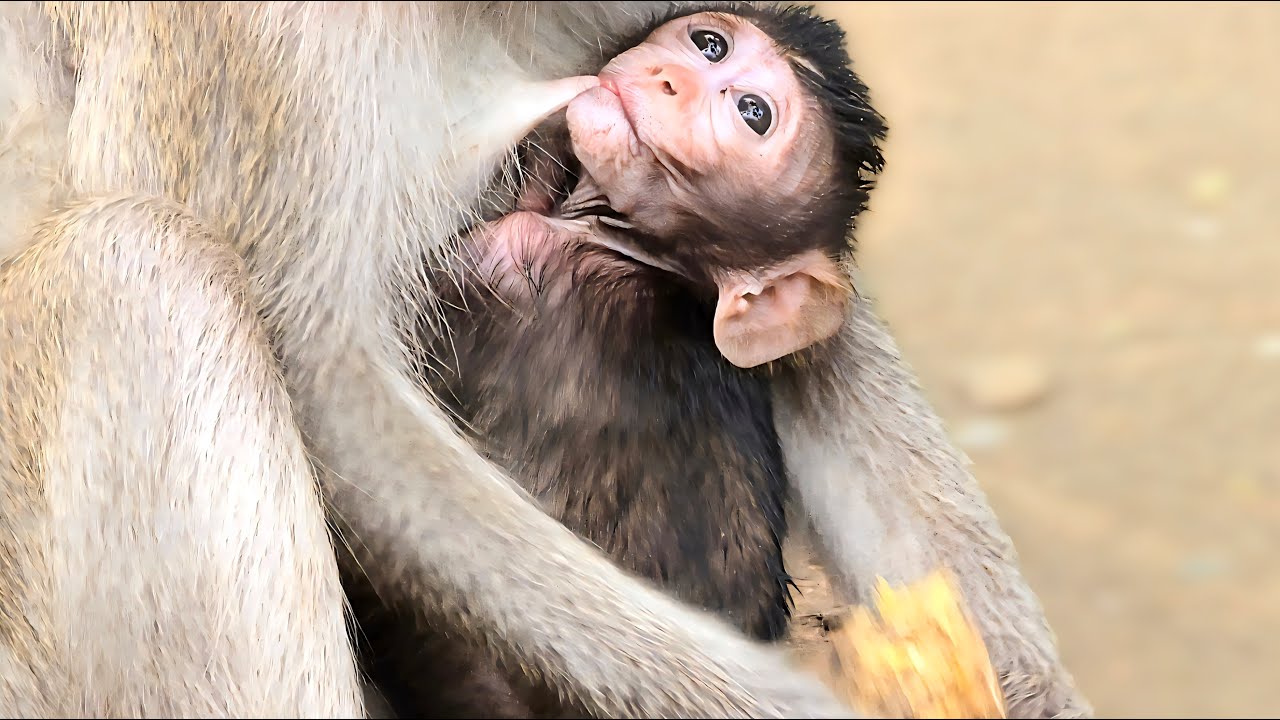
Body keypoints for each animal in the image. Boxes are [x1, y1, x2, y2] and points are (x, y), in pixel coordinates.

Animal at [0, 2, 1091, 718]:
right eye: (701, 46)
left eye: (750, 107)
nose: (667, 81)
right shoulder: (251, 41)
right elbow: (325, 379)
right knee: (138, 267)